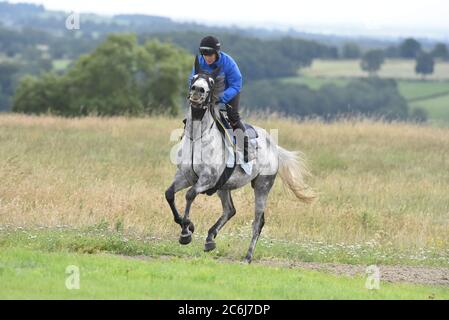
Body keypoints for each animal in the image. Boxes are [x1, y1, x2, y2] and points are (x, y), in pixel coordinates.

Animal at [164, 57, 316, 262]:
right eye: (193, 78)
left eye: (211, 82)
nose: (197, 91)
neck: (198, 138)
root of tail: (274, 147)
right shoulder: (185, 176)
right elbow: (169, 194)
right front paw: (186, 225)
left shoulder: (207, 179)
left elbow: (189, 195)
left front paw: (186, 232)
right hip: (223, 186)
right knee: (230, 210)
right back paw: (210, 239)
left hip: (262, 186)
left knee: (258, 221)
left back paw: (247, 256)